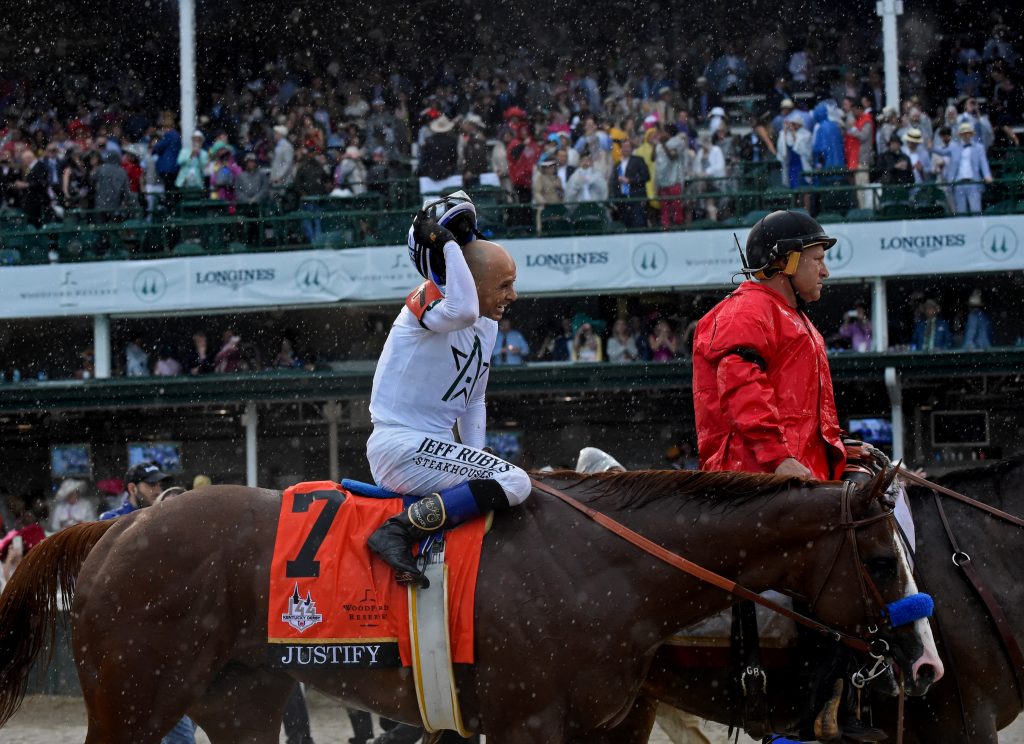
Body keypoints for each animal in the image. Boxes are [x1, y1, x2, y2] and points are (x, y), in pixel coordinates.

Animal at [0, 470, 937, 744]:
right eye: (881, 557)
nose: (925, 662)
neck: (607, 566)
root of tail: (117, 526)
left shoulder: (605, 726)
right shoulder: (528, 724)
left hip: (241, 701)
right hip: (133, 702)